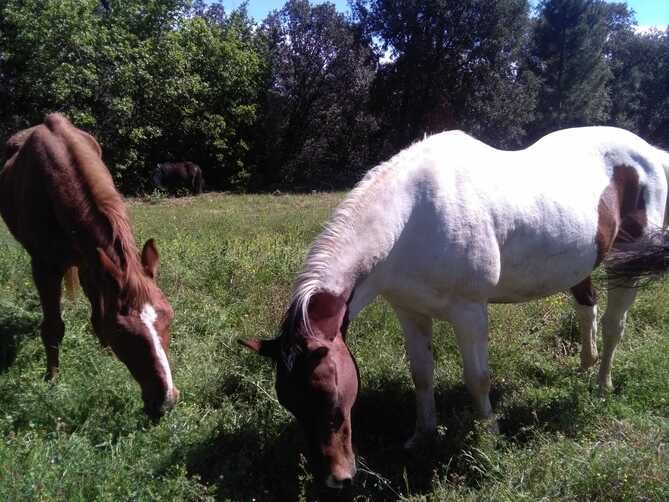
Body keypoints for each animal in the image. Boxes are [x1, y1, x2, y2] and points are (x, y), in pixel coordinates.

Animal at [0, 114, 179, 419]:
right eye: (123, 331)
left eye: (169, 317)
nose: (165, 401)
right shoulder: (45, 268)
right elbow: (53, 327)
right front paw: (52, 379)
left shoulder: (93, 264)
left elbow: (98, 317)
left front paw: (106, 356)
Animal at [241, 126, 669, 488]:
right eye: (291, 405)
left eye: (331, 399)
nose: (337, 478)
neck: (410, 220)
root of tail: (651, 153)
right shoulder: (410, 312)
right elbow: (421, 374)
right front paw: (422, 435)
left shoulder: (469, 312)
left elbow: (477, 377)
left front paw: (489, 437)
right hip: (581, 265)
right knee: (587, 309)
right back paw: (585, 363)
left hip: (626, 265)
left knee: (614, 325)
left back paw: (602, 385)